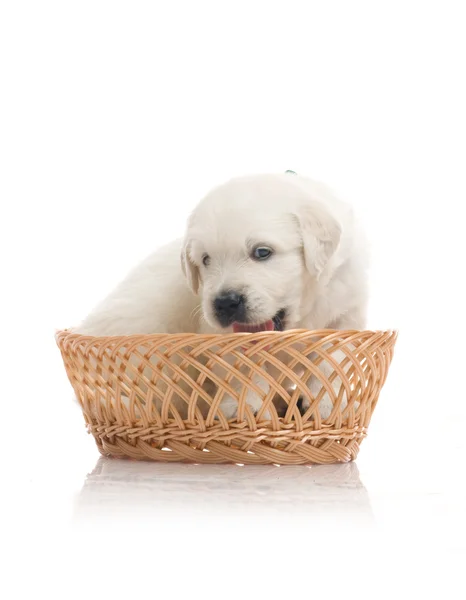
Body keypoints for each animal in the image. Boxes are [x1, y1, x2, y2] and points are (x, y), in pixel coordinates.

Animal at [75, 171, 368, 420]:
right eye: (205, 259)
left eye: (262, 252)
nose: (225, 303)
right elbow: (243, 366)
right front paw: (244, 407)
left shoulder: (345, 311)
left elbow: (333, 359)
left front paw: (328, 403)